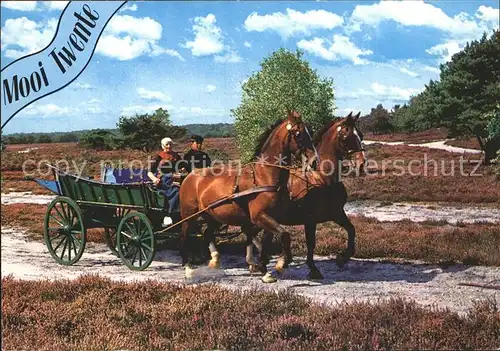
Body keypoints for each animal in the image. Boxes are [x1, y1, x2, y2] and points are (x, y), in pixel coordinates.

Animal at [179, 110, 320, 276]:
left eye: (310, 132)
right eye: (298, 134)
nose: (314, 161)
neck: (263, 176)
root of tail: (190, 175)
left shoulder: (269, 216)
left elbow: (266, 240)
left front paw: (262, 267)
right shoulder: (259, 216)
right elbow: (283, 235)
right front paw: (282, 263)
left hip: (212, 215)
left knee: (207, 234)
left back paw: (215, 259)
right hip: (189, 215)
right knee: (184, 236)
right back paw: (188, 267)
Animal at [250, 111, 368, 282]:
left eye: (360, 134)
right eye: (346, 136)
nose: (362, 164)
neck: (321, 178)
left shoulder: (336, 213)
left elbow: (351, 230)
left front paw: (342, 258)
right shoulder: (310, 219)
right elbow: (311, 243)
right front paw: (313, 269)